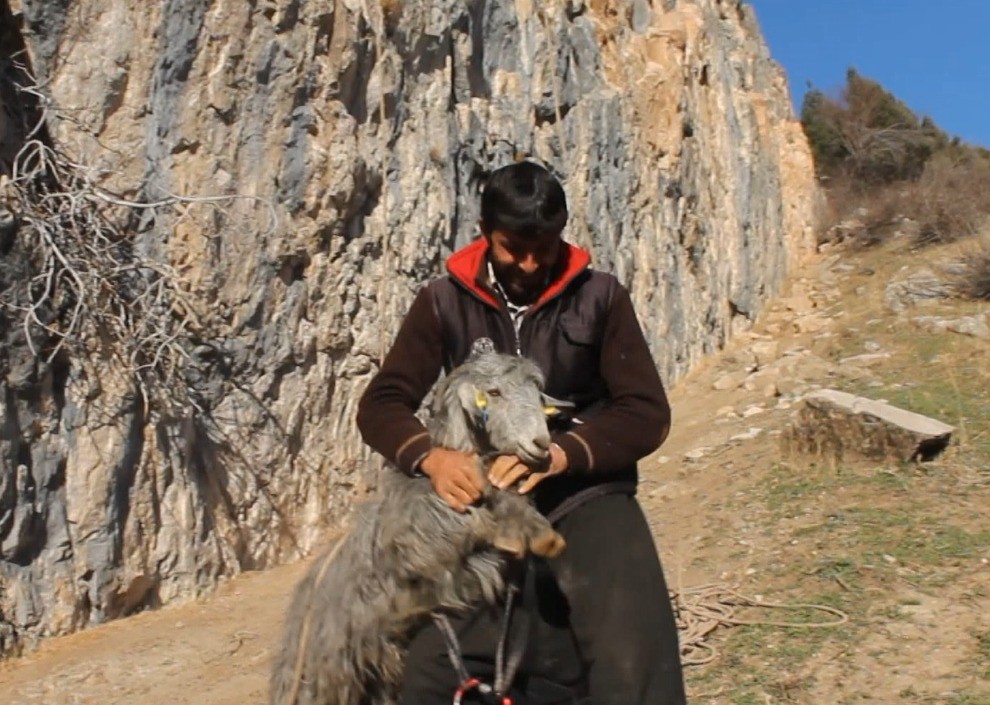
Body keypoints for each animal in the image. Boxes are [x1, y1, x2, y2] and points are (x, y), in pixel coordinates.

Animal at [270, 350, 564, 700]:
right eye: (494, 393)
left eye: (538, 394)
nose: (541, 443)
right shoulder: (424, 545)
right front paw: (517, 535)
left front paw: (541, 536)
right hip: (329, 673)